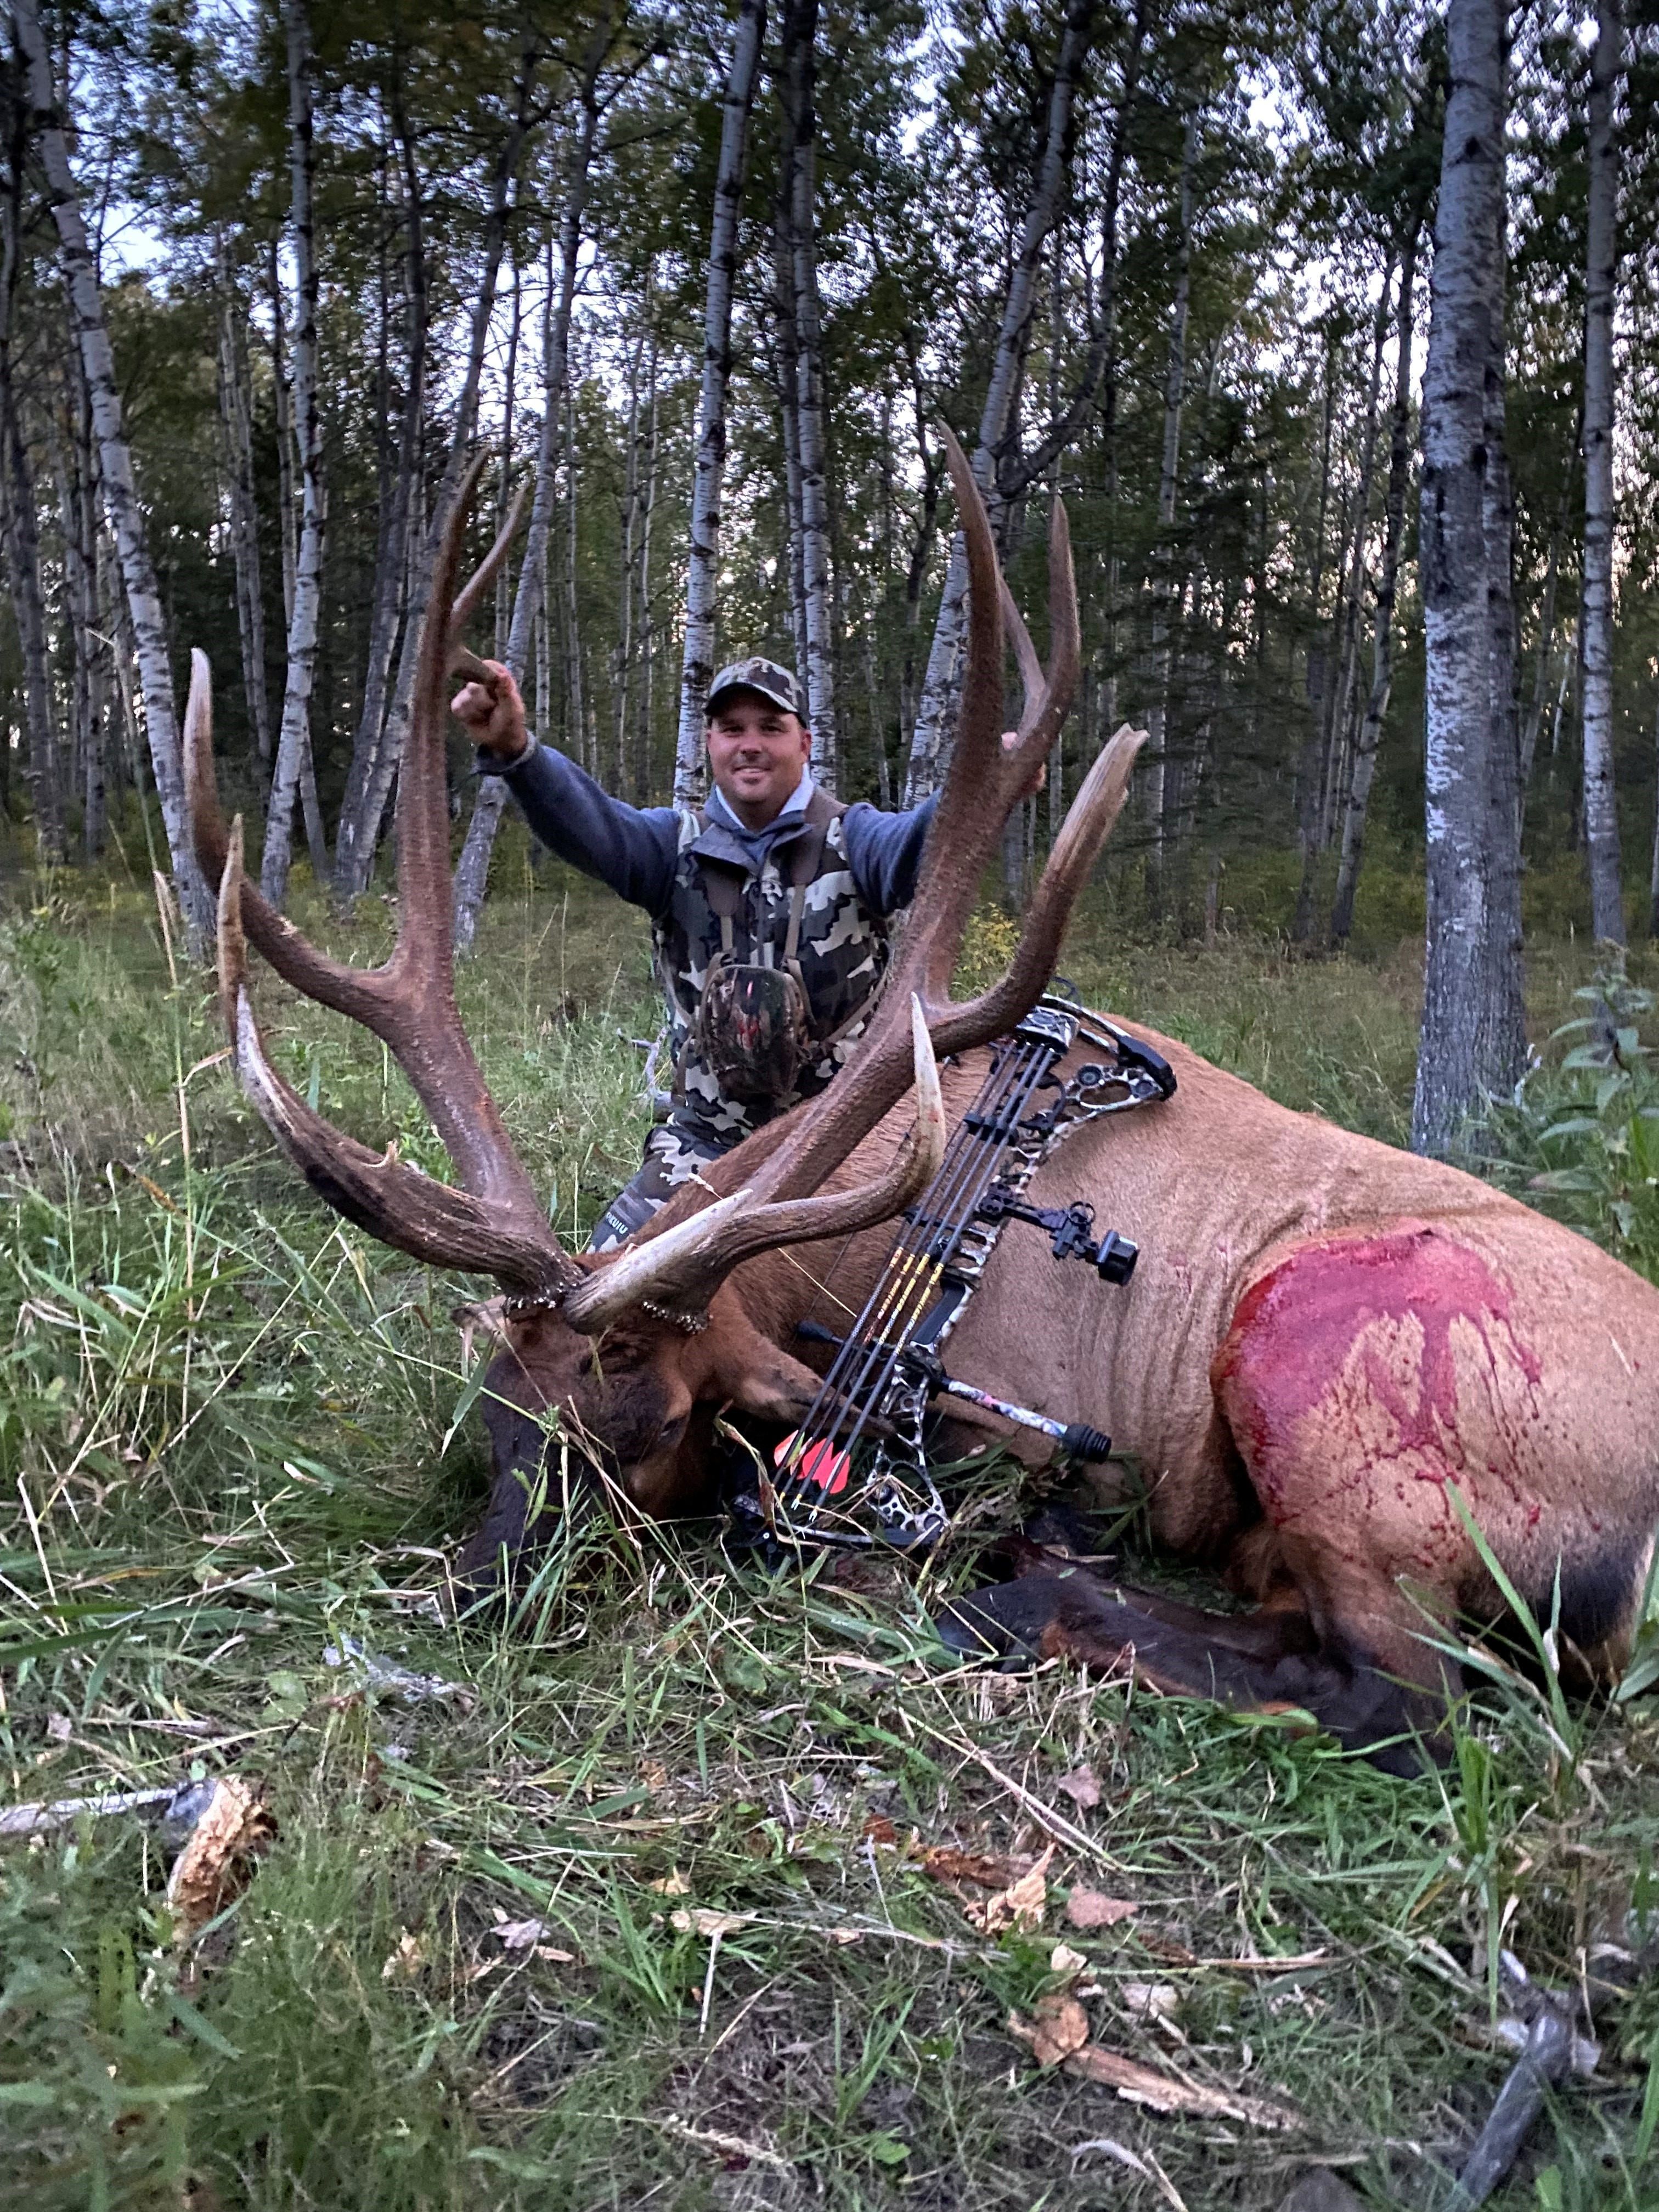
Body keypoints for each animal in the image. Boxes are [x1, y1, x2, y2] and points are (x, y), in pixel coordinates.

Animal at [185, 441, 1659, 1773]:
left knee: (1409, 1704)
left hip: (1325, 1362)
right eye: (499, 1410)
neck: (837, 1269)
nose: (487, 1594)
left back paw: (1025, 1598)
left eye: (647, 1426)